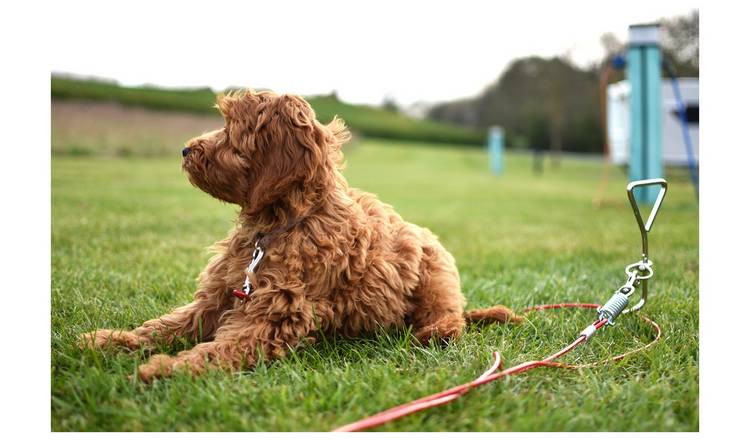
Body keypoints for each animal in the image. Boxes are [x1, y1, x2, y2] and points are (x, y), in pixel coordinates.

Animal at [78, 90, 524, 382]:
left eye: (231, 129)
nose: (185, 150)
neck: (280, 225)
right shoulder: (219, 296)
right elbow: (166, 325)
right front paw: (110, 340)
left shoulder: (277, 315)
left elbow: (224, 348)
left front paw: (168, 369)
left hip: (435, 274)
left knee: (451, 318)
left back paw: (433, 332)